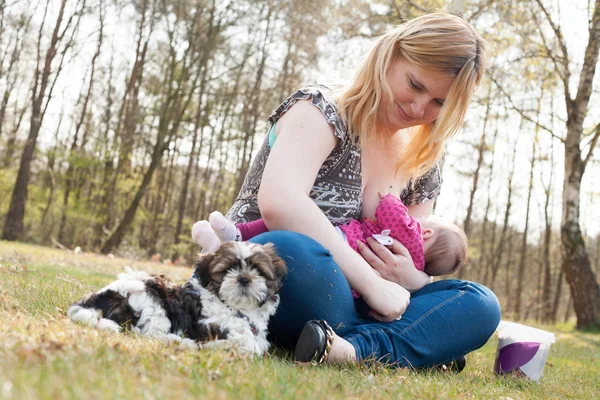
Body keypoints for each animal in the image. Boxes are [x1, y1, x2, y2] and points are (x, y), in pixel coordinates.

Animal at [67, 242, 288, 354]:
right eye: (227, 270)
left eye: (258, 270)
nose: (244, 278)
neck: (236, 309)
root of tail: (93, 299)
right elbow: (247, 344)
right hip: (151, 300)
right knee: (145, 333)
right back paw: (180, 342)